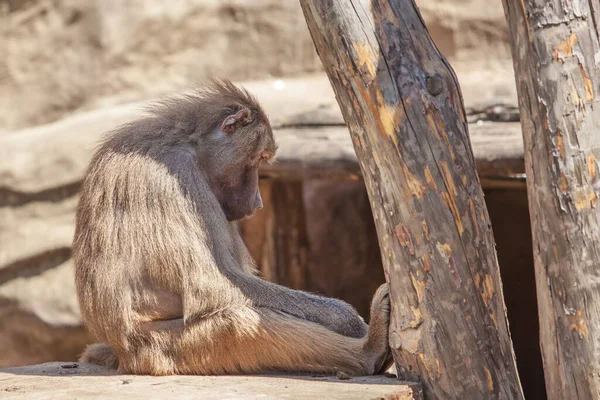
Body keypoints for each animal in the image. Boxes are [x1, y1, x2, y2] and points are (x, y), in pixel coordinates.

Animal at [72, 79, 392, 376]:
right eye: (259, 158)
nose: (257, 203)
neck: (191, 143)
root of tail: (124, 354)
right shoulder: (179, 177)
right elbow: (213, 286)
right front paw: (348, 320)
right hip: (165, 350)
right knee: (240, 323)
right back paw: (369, 352)